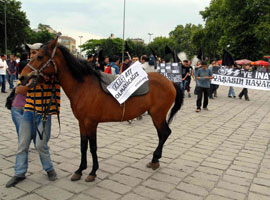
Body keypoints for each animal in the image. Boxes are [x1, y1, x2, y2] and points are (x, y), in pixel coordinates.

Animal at [19, 38, 184, 183]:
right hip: (156, 116)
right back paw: (155, 159)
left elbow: (93, 147)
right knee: (162, 134)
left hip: (158, 115)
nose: (22, 77)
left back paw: (155, 159)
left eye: (40, 56)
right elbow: (83, 146)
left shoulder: (91, 123)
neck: (83, 86)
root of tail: (170, 82)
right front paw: (80, 170)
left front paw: (92, 172)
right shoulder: (82, 123)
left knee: (165, 133)